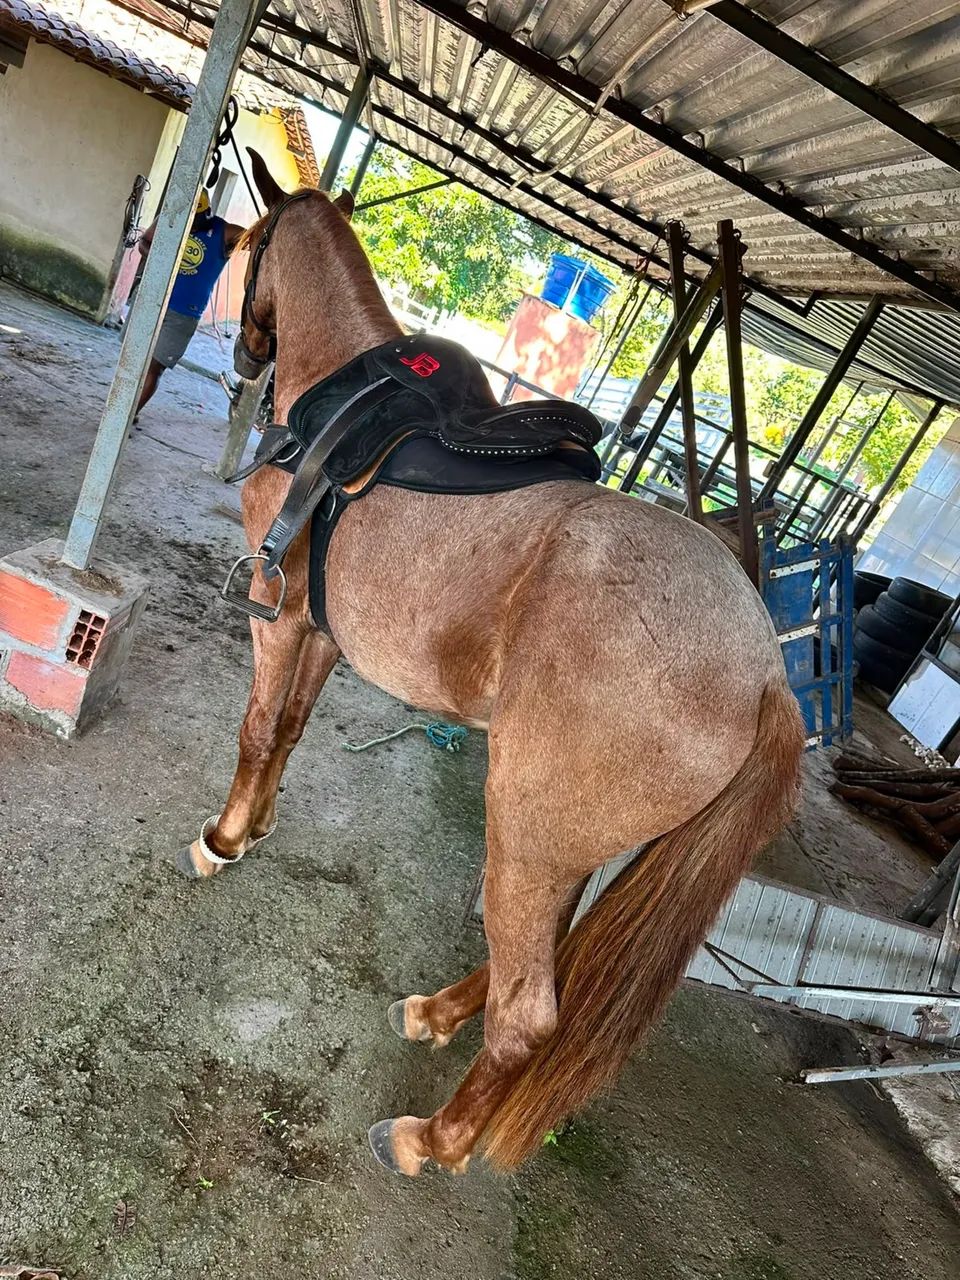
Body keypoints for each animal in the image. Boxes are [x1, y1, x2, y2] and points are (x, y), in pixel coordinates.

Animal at [177, 150, 804, 1178]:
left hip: (526, 827)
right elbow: (293, 731)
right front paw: (258, 825)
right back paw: (436, 1014)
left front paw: (223, 841)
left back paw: (432, 1140)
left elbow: (258, 728)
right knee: (544, 958)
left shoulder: (279, 621)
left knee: (529, 1014)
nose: (243, 351)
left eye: (251, 239)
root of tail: (765, 677)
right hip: (560, 846)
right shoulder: (321, 633)